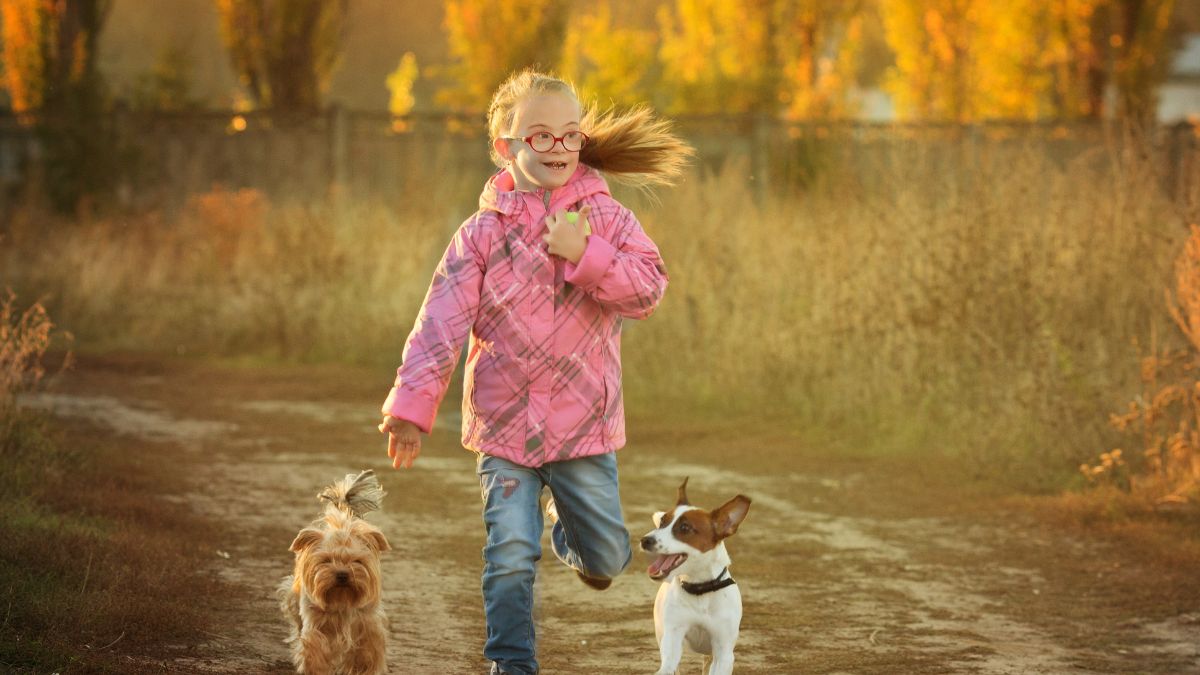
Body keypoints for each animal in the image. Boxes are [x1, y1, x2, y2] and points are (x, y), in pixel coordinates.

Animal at [278, 468, 391, 672]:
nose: (342, 574)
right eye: (325, 561)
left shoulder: (368, 624)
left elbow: (366, 650)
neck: (342, 600)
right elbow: (314, 645)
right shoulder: (316, 623)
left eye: (357, 561)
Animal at [638, 475, 748, 672]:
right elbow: (668, 665)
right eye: (662, 522)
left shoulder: (723, 653)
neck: (700, 589)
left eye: (685, 528)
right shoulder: (673, 639)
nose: (645, 540)